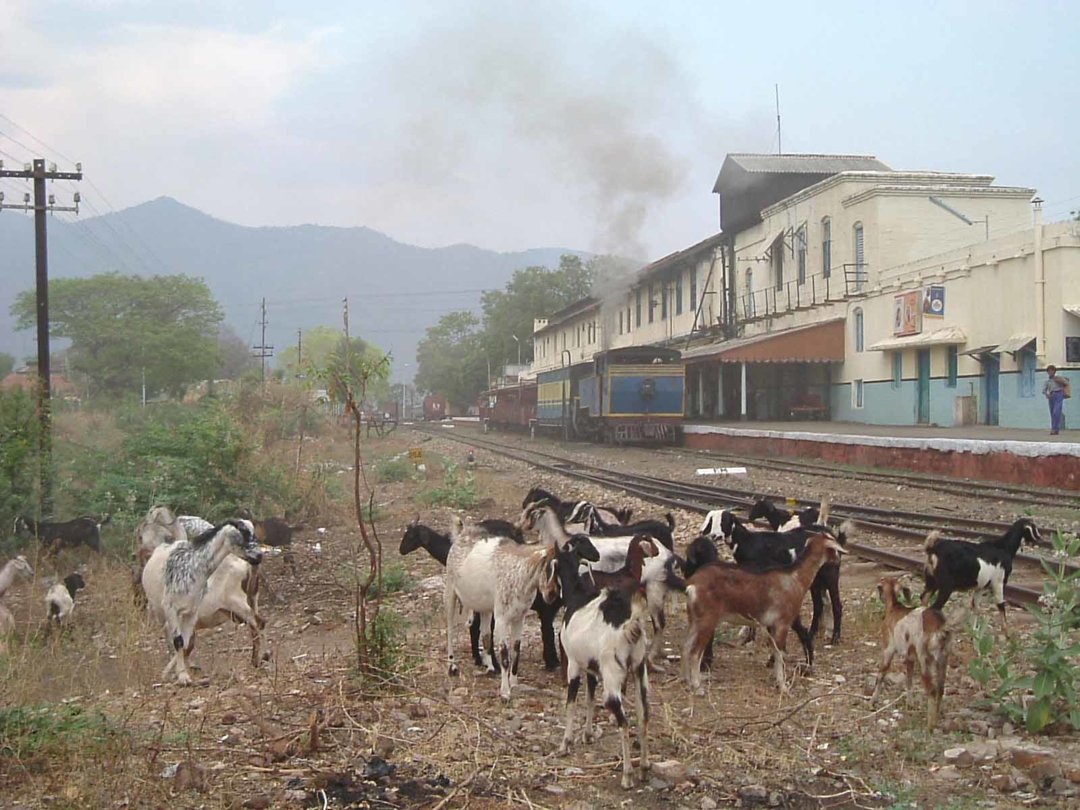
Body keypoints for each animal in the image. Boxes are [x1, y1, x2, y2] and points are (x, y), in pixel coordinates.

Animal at [540, 535, 648, 790]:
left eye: (551, 566)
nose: (548, 594)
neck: (576, 596)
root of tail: (630, 625)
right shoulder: (590, 668)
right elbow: (589, 699)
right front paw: (588, 734)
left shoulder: (573, 664)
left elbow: (571, 703)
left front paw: (565, 743)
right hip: (639, 669)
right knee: (643, 714)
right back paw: (644, 767)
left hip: (612, 674)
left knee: (623, 720)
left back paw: (627, 775)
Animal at [678, 529, 846, 695]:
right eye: (833, 549)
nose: (838, 560)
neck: (795, 578)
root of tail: (692, 584)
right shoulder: (782, 623)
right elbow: (780, 655)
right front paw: (783, 687)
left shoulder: (772, 625)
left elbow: (776, 652)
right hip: (707, 620)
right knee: (694, 653)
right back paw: (697, 687)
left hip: (695, 619)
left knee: (686, 648)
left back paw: (687, 681)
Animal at [872, 578, 950, 730]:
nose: (880, 597)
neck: (893, 608)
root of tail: (939, 630)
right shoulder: (909, 657)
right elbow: (909, 680)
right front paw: (910, 703)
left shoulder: (888, 648)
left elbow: (881, 674)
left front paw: (872, 702)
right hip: (942, 658)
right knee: (940, 688)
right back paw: (937, 718)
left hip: (925, 658)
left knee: (932, 690)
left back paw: (930, 726)